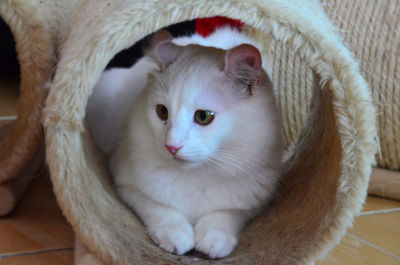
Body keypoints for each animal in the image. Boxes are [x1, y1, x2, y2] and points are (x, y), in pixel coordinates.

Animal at [86, 27, 282, 256]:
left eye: (204, 116)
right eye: (162, 112)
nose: (171, 146)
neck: (197, 176)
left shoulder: (252, 199)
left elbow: (226, 214)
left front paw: (215, 238)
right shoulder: (127, 184)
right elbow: (159, 208)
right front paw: (176, 235)